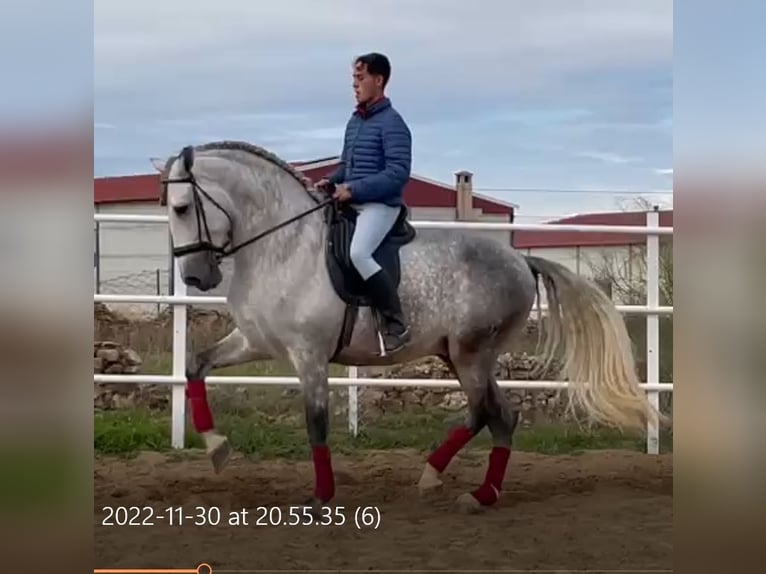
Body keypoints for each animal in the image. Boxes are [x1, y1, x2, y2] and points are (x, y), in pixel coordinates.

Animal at [148, 142, 660, 516]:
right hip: (458, 354)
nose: (196, 278)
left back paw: (451, 483)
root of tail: (520, 259)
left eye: (181, 207)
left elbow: (316, 423)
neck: (283, 245)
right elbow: (195, 366)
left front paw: (320, 497)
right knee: (497, 415)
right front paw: (216, 449)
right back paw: (468, 488)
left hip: (472, 352)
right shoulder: (256, 342)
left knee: (487, 413)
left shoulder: (309, 355)